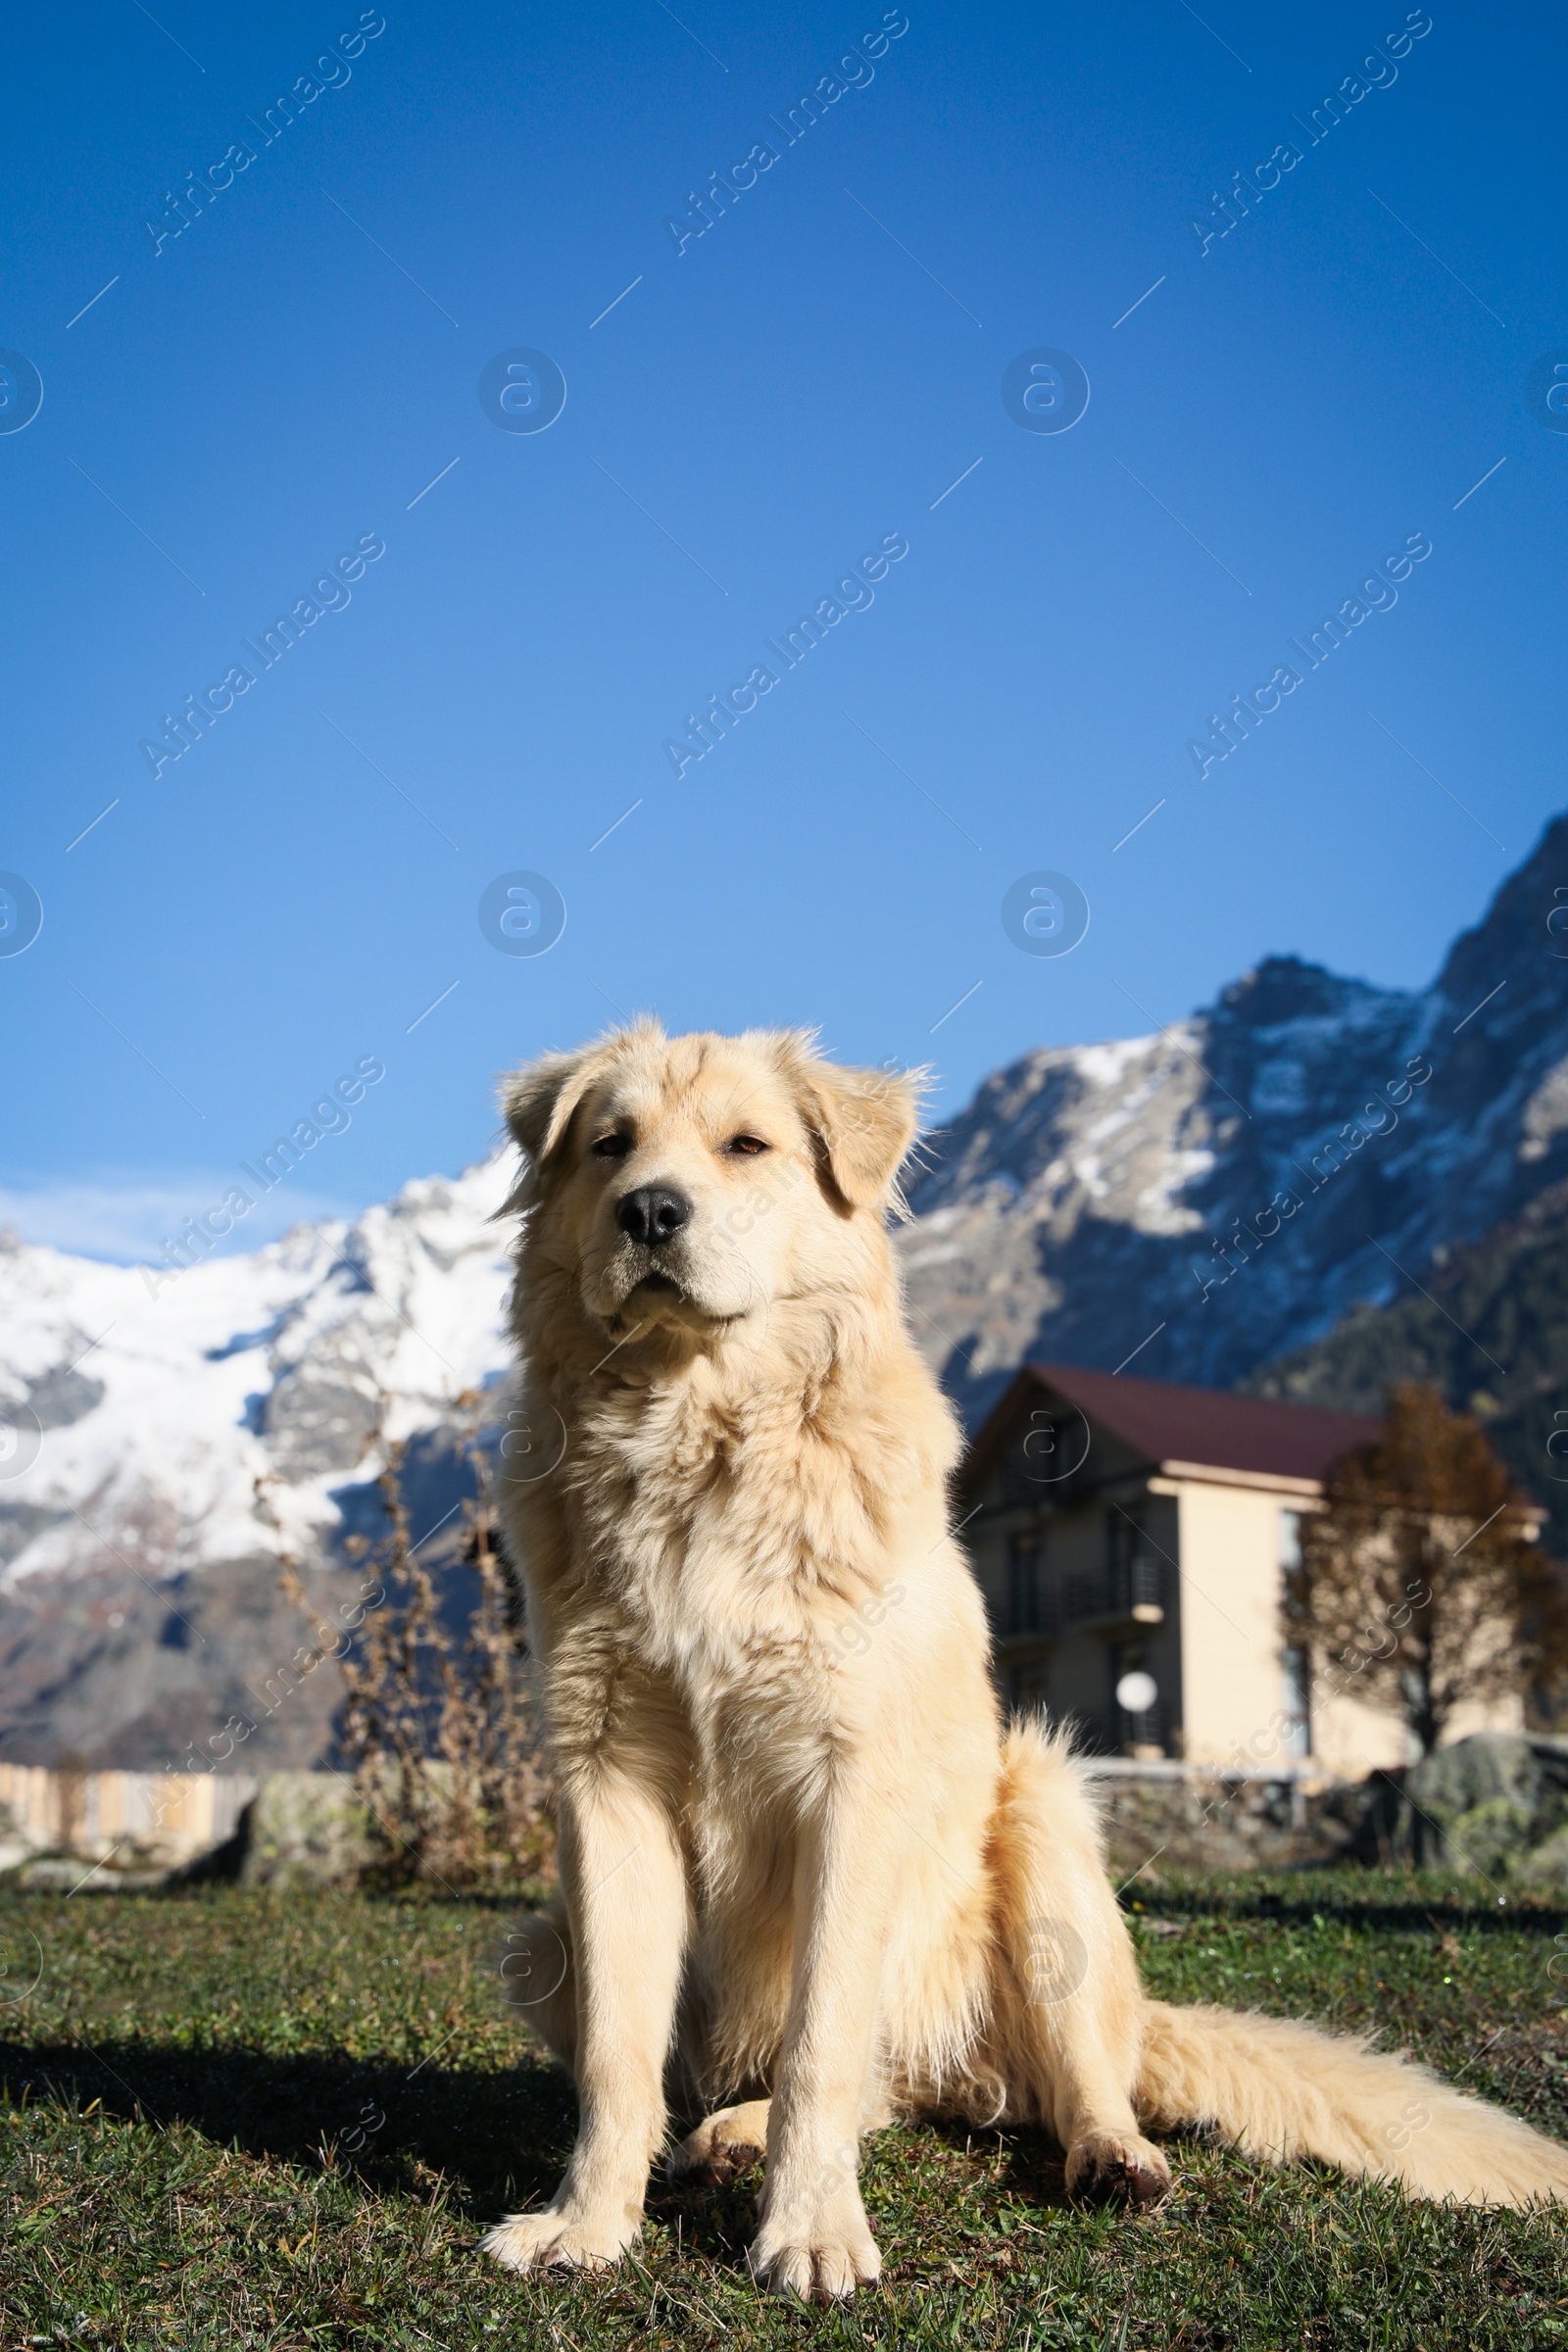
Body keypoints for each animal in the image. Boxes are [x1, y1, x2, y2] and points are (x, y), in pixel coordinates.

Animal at [484, 1025, 1568, 2295]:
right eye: (610, 1145)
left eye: (744, 1146)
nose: (650, 1212)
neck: (699, 1438)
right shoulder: (606, 1781)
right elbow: (621, 2058)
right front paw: (588, 2225)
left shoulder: (852, 1782)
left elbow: (819, 2044)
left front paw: (809, 2230)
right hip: (536, 1942)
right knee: (869, 2090)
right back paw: (725, 2134)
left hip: (1041, 1814)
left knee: (1055, 2080)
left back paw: (1109, 2158)